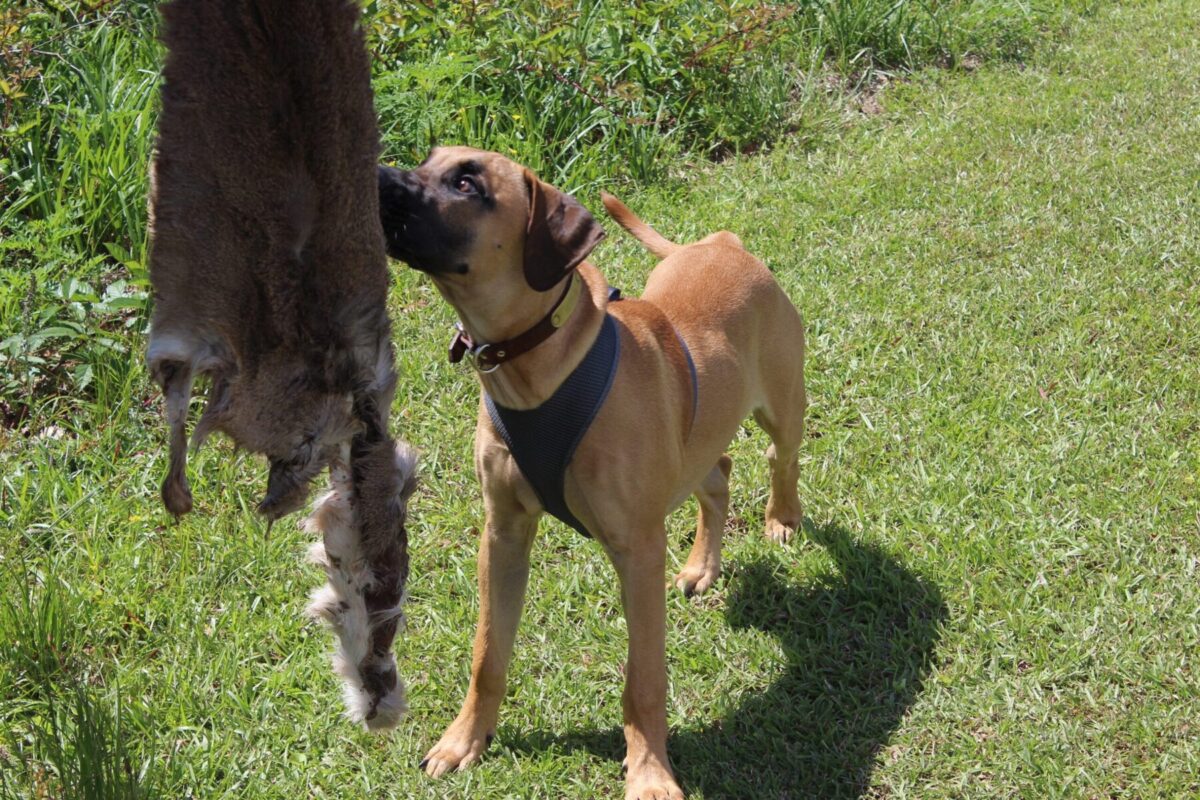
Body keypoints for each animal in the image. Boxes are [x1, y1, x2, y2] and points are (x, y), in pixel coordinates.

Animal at [376, 146, 806, 796]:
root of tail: (719, 243)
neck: (536, 368)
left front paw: (650, 771)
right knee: (717, 473)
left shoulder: (638, 549)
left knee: (781, 460)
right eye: (427, 159)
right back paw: (702, 565)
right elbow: (487, 655)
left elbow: (644, 680)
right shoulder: (502, 534)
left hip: (783, 403)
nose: (373, 177)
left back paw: (781, 518)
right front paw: (464, 740)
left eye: (468, 182)